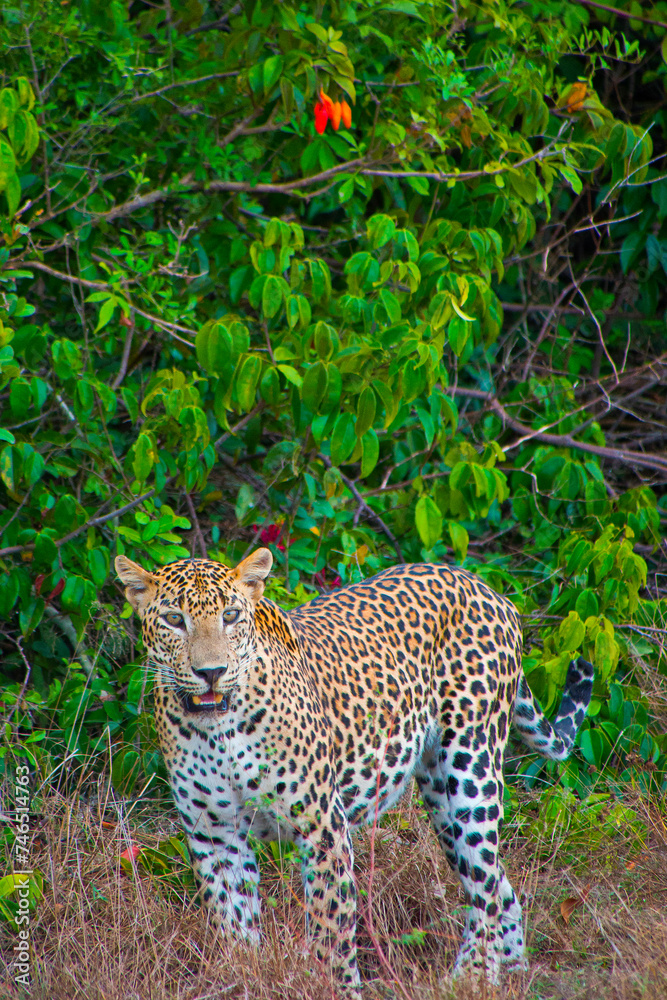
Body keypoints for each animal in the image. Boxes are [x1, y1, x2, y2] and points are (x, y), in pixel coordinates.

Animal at [116, 548, 593, 994]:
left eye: (230, 616)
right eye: (175, 620)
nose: (211, 672)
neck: (219, 730)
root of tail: (485, 587)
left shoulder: (322, 826)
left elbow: (330, 928)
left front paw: (335, 987)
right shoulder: (214, 834)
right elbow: (233, 925)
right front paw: (243, 977)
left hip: (470, 771)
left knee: (486, 887)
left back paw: (470, 977)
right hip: (439, 794)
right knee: (499, 884)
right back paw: (507, 972)